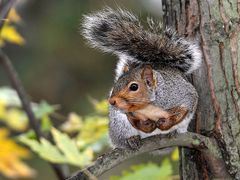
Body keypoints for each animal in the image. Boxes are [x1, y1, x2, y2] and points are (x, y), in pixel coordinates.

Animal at [81, 7, 202, 149]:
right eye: (116, 84)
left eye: (134, 87)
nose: (111, 101)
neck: (147, 106)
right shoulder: (127, 113)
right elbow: (134, 120)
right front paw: (146, 125)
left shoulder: (184, 94)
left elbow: (185, 108)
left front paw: (166, 123)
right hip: (119, 125)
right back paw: (131, 140)